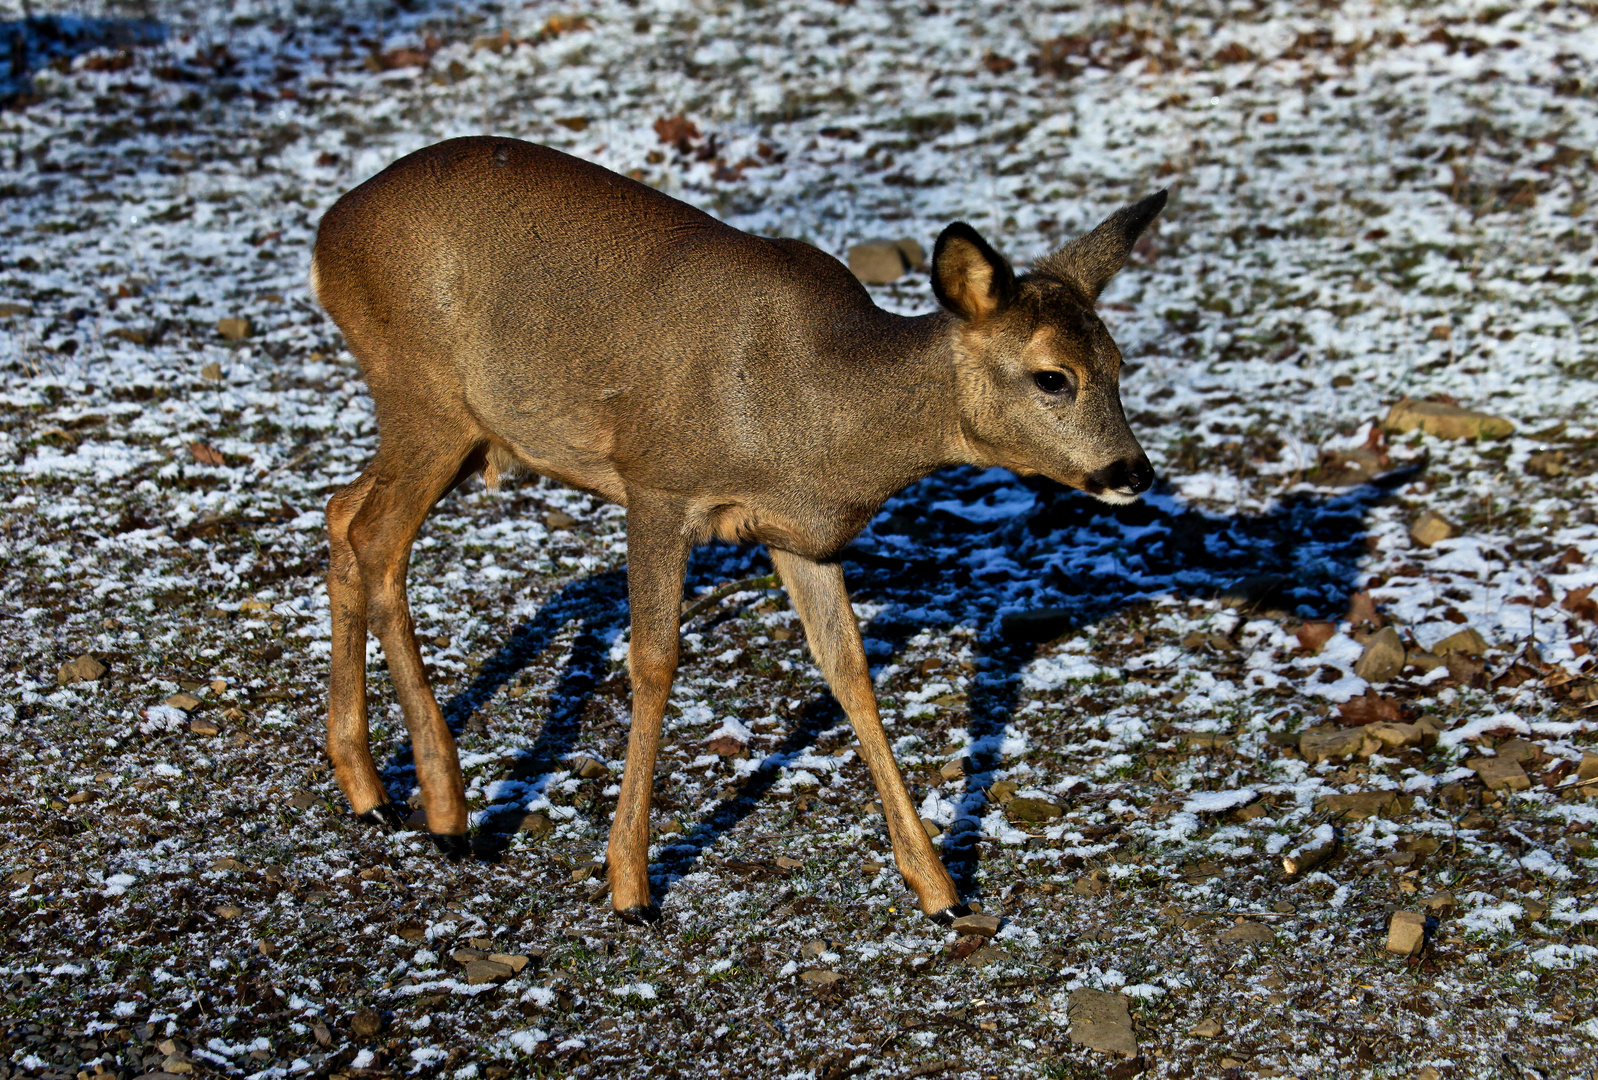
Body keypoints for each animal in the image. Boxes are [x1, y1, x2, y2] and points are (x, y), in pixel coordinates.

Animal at [311, 135, 1163, 926]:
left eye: (1120, 364)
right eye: (1052, 377)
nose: (1133, 470)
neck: (816, 411)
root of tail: (326, 237)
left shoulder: (799, 534)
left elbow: (849, 670)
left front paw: (939, 889)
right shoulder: (656, 483)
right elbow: (654, 662)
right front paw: (630, 887)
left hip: (462, 429)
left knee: (341, 513)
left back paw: (368, 790)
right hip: (424, 394)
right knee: (377, 542)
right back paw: (446, 812)